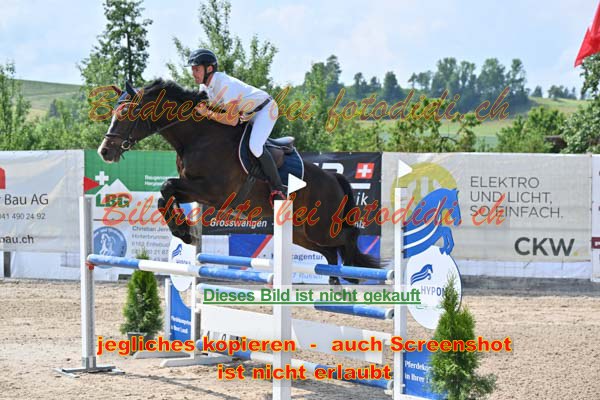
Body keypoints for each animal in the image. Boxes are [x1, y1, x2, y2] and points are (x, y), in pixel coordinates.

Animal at [97, 79, 379, 284]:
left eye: (126, 113)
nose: (105, 152)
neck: (197, 138)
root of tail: (334, 177)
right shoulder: (193, 189)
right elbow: (164, 194)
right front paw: (183, 231)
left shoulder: (213, 192)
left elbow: (167, 186)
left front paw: (183, 230)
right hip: (303, 233)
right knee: (331, 252)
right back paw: (335, 282)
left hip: (321, 225)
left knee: (348, 237)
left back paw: (353, 275)